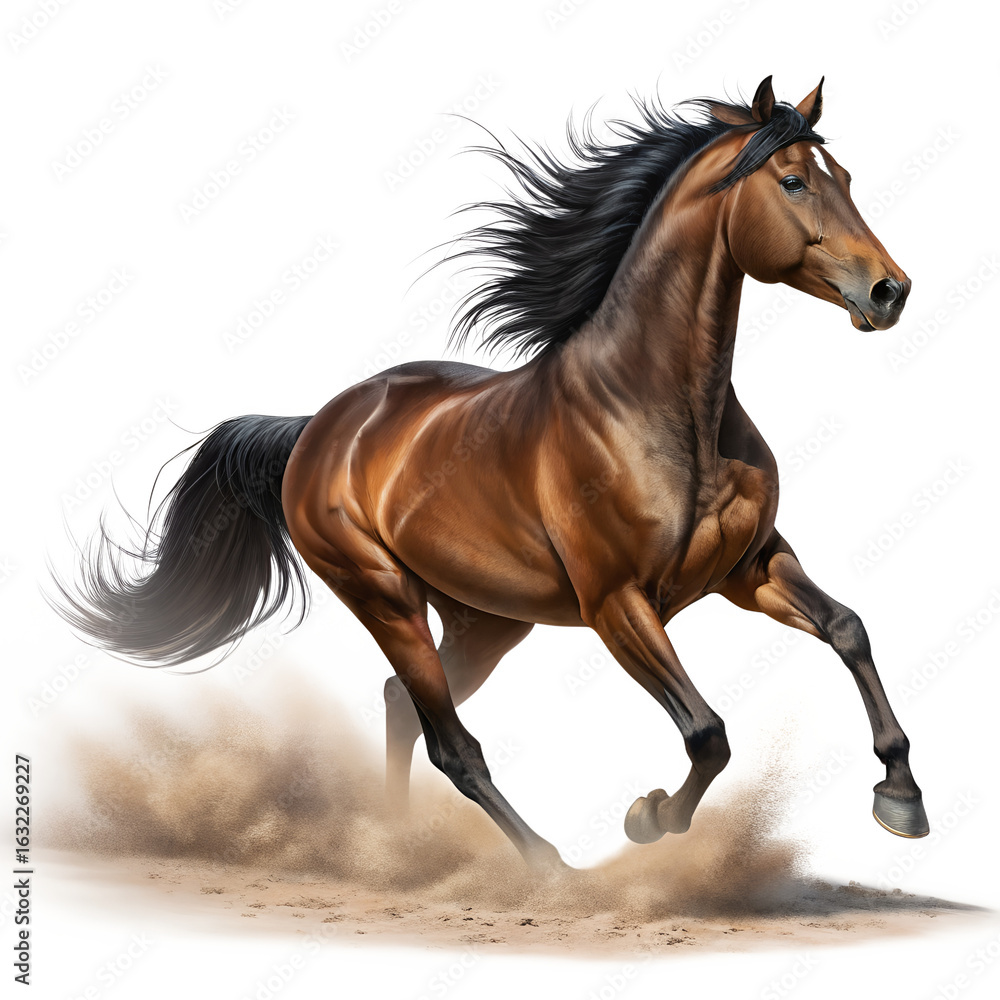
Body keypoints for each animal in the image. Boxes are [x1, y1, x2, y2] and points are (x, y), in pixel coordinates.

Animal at [49, 76, 929, 871]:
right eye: (792, 181)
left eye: (846, 178)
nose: (890, 290)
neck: (660, 410)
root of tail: (317, 429)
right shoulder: (618, 603)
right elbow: (707, 733)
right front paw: (648, 818)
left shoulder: (749, 568)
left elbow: (848, 628)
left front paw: (901, 800)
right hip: (386, 597)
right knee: (449, 741)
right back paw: (540, 865)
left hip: (486, 620)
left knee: (402, 705)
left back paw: (394, 842)